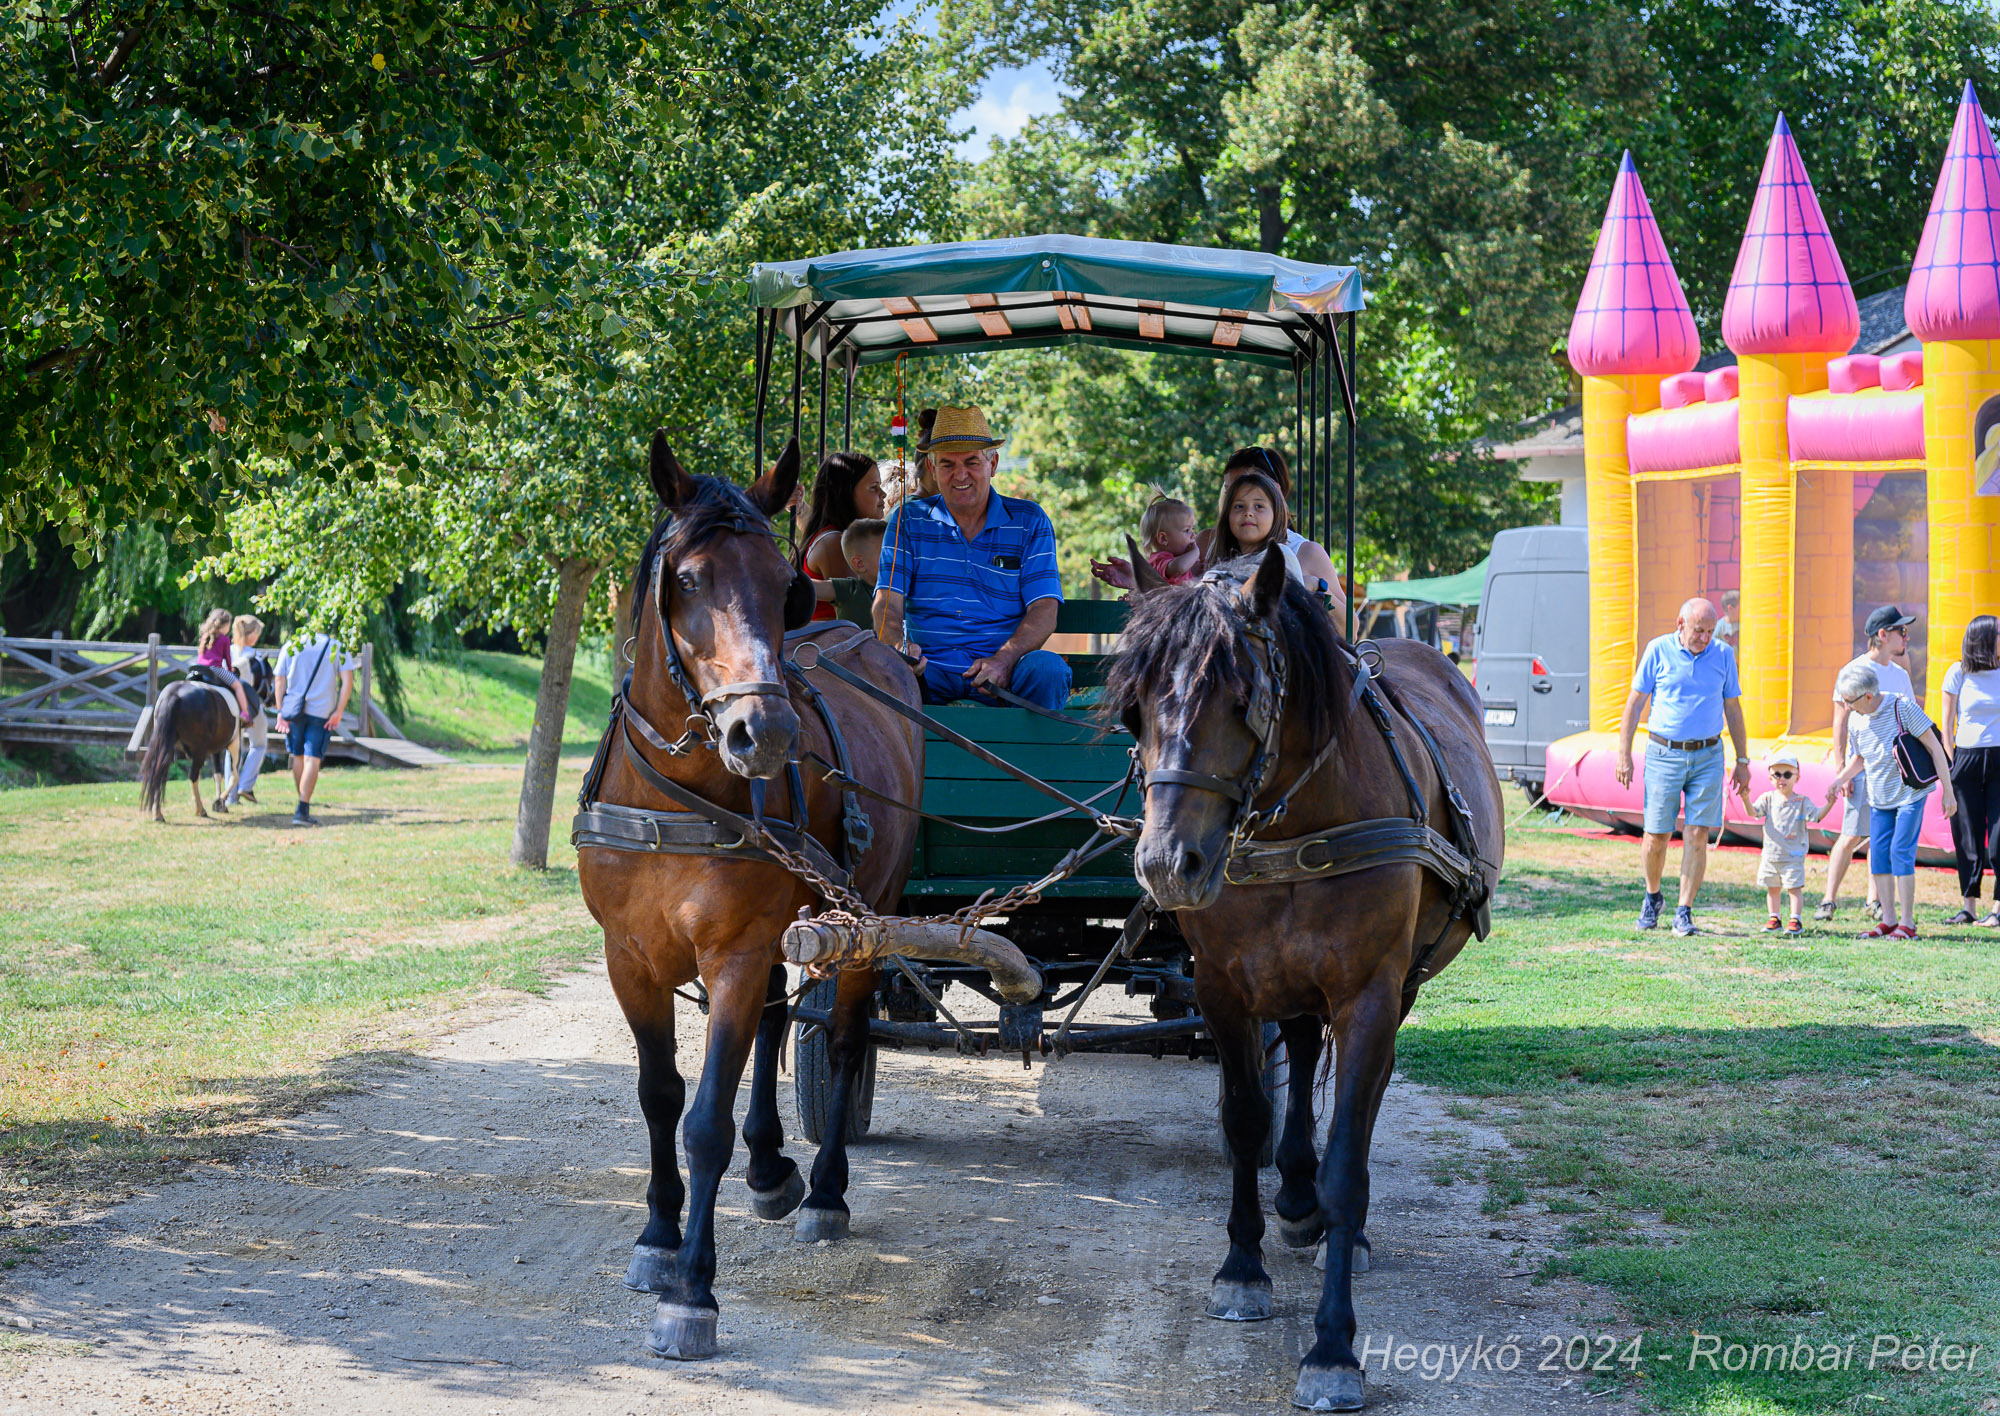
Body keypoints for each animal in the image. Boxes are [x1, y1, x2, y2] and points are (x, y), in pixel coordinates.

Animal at [140, 676, 241, 820]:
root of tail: (174, 695)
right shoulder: (235, 741)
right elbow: (234, 776)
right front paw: (220, 800)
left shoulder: (214, 750)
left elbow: (217, 775)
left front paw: (219, 803)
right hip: (200, 751)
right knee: (192, 775)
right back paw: (200, 810)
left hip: (167, 747)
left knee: (159, 773)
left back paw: (158, 813)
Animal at [576, 428, 924, 1360]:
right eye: (689, 580)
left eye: (780, 583)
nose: (762, 732)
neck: (677, 799)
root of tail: (867, 643)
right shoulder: (631, 957)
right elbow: (660, 1098)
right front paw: (658, 1240)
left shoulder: (732, 950)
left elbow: (705, 1122)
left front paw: (693, 1294)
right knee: (774, 1020)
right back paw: (772, 1169)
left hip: (862, 916)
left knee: (843, 1038)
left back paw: (827, 1190)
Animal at [1112, 548, 1504, 1408]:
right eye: (1134, 710)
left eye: (1243, 700)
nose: (1167, 864)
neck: (1297, 821)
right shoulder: (1222, 988)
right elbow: (1244, 1121)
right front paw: (1242, 1267)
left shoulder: (1369, 996)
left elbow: (1349, 1160)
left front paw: (1331, 1347)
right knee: (1294, 1043)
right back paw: (1294, 1196)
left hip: (1398, 987)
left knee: (1362, 1094)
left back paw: (1333, 1225)